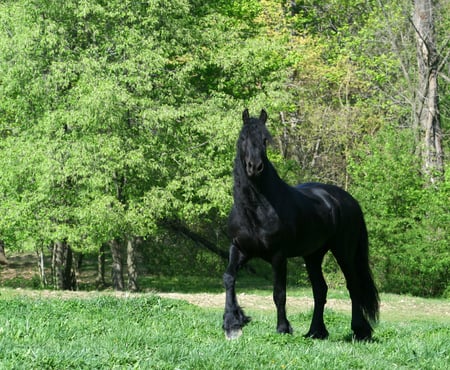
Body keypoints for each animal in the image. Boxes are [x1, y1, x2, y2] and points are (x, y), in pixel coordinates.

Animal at [223, 109, 378, 342]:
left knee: (353, 286)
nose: (255, 167)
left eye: (265, 140)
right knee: (320, 290)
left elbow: (279, 293)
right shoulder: (239, 249)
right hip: (313, 255)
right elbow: (229, 278)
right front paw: (233, 323)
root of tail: (347, 199)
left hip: (344, 252)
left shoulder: (278, 256)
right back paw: (316, 331)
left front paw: (282, 328)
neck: (256, 209)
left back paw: (360, 330)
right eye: (242, 138)